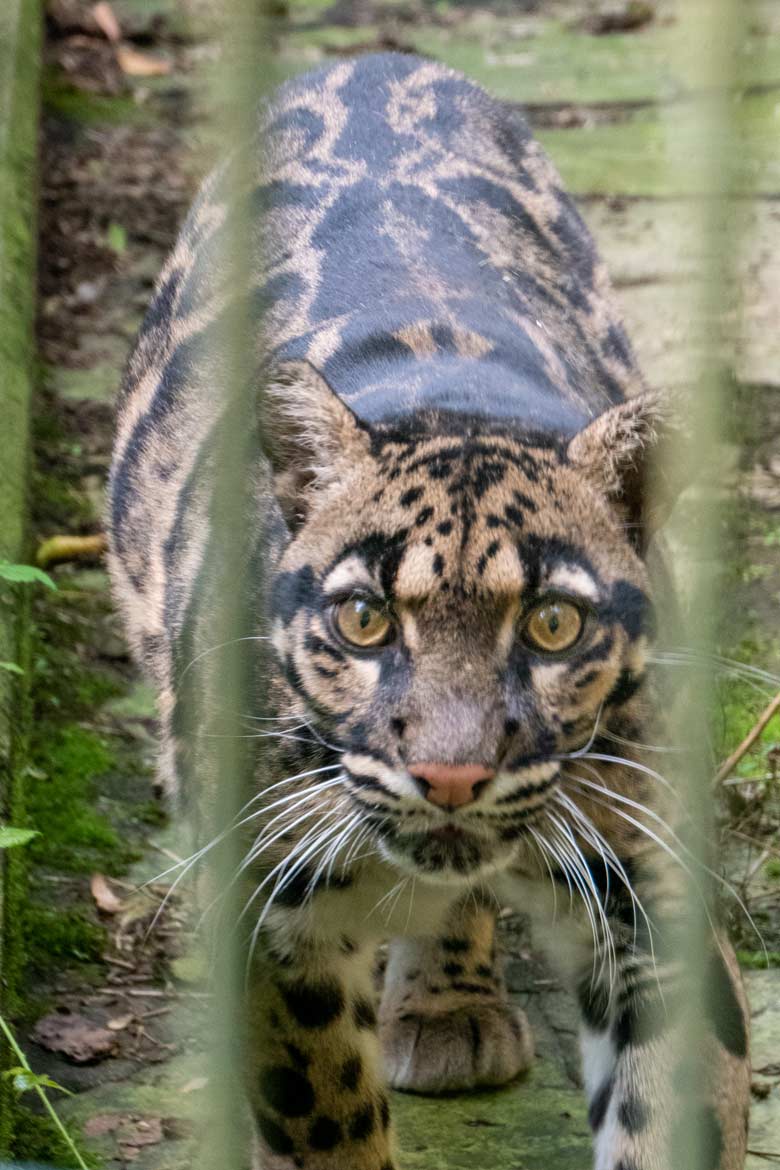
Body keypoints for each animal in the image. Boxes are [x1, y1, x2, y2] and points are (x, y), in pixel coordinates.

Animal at [108, 52, 748, 1170]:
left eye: (553, 626)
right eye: (363, 619)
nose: (452, 776)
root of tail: (376, 58)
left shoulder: (650, 895)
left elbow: (671, 1112)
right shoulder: (265, 915)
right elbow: (325, 1116)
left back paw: (450, 1004)